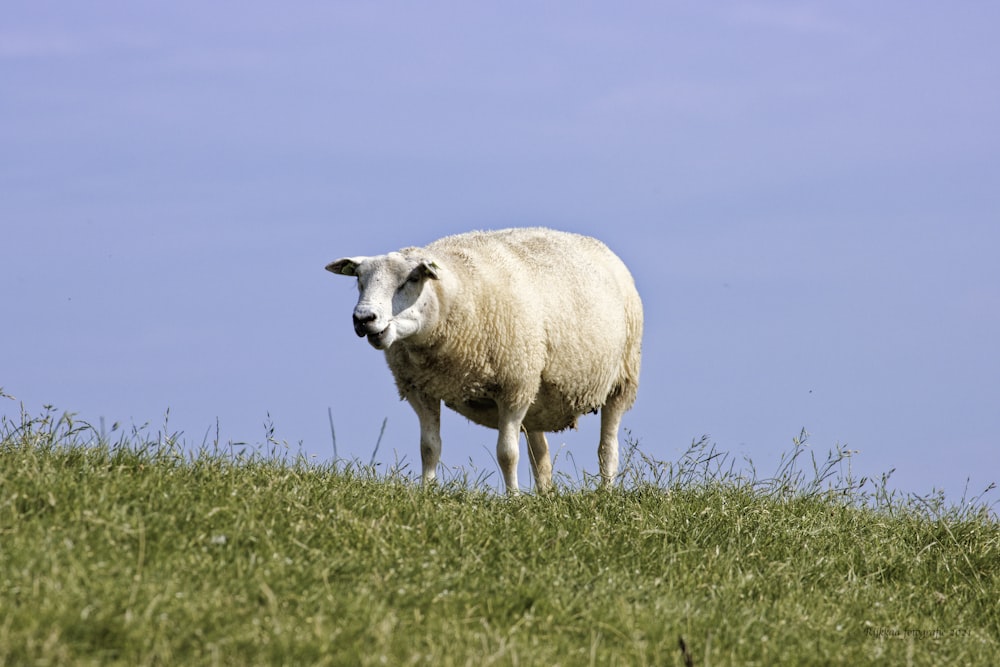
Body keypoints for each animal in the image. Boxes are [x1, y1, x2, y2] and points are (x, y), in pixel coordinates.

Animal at [324, 227, 644, 494]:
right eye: (359, 281)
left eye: (412, 279)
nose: (364, 318)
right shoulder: (421, 389)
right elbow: (429, 448)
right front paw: (426, 493)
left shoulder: (514, 387)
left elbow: (507, 453)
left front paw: (513, 499)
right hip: (537, 393)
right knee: (541, 456)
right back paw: (545, 497)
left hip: (621, 379)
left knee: (607, 447)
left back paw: (605, 493)